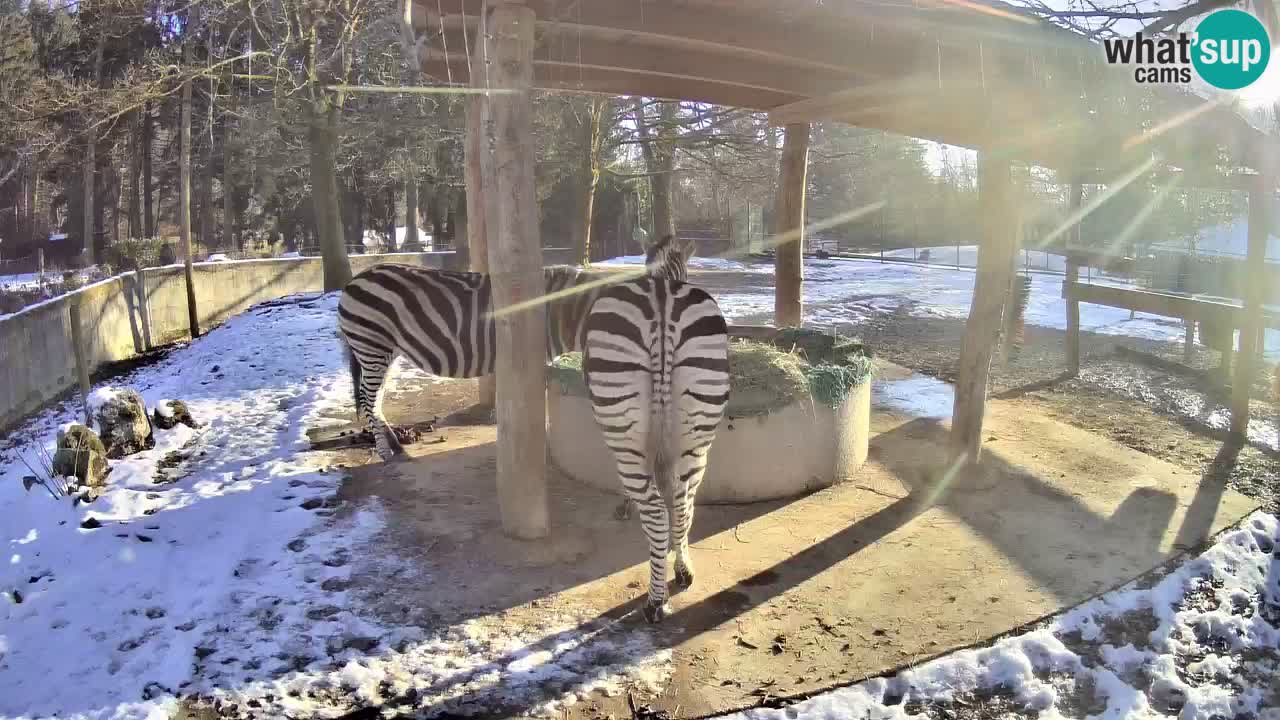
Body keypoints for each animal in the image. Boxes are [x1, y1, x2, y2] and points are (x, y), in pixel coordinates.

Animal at [337, 235, 701, 458]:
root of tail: (353, 281)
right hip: (372, 345)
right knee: (368, 398)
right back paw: (386, 453)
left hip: (386, 350)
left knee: (375, 398)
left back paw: (396, 445)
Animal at [583, 254, 732, 620]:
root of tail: (662, 296)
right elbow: (678, 500)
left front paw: (624, 506)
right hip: (698, 430)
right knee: (682, 504)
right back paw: (682, 572)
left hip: (624, 430)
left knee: (656, 512)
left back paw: (654, 601)